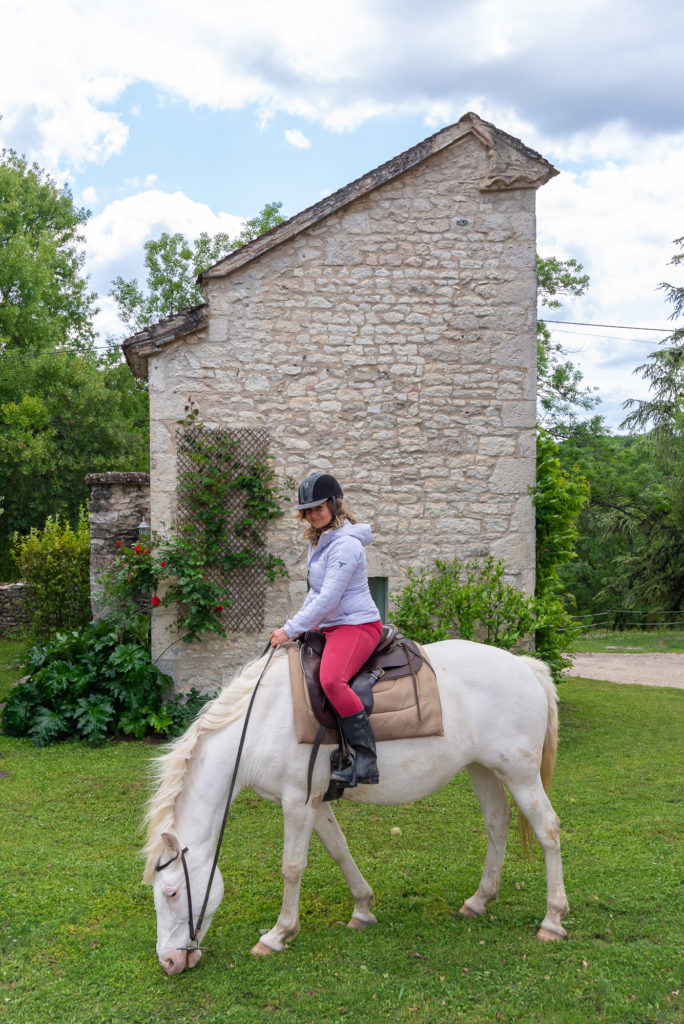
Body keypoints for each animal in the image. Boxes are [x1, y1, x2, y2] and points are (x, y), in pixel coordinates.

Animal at [145, 638, 573, 974]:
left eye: (171, 893)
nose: (168, 961)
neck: (261, 722)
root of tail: (524, 666)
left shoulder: (297, 802)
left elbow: (292, 866)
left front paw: (278, 934)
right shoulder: (315, 800)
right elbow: (339, 849)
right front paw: (362, 909)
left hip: (520, 773)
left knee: (548, 830)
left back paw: (552, 919)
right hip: (483, 768)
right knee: (497, 823)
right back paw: (479, 900)